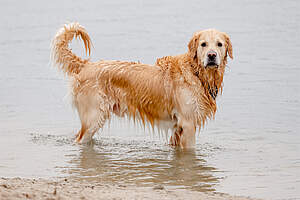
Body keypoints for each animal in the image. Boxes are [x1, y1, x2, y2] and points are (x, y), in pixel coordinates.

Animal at [50, 23, 233, 148]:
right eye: (203, 44)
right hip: (93, 117)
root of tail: (86, 65)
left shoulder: (178, 129)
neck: (197, 73)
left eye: (219, 44)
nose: (211, 56)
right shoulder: (187, 124)